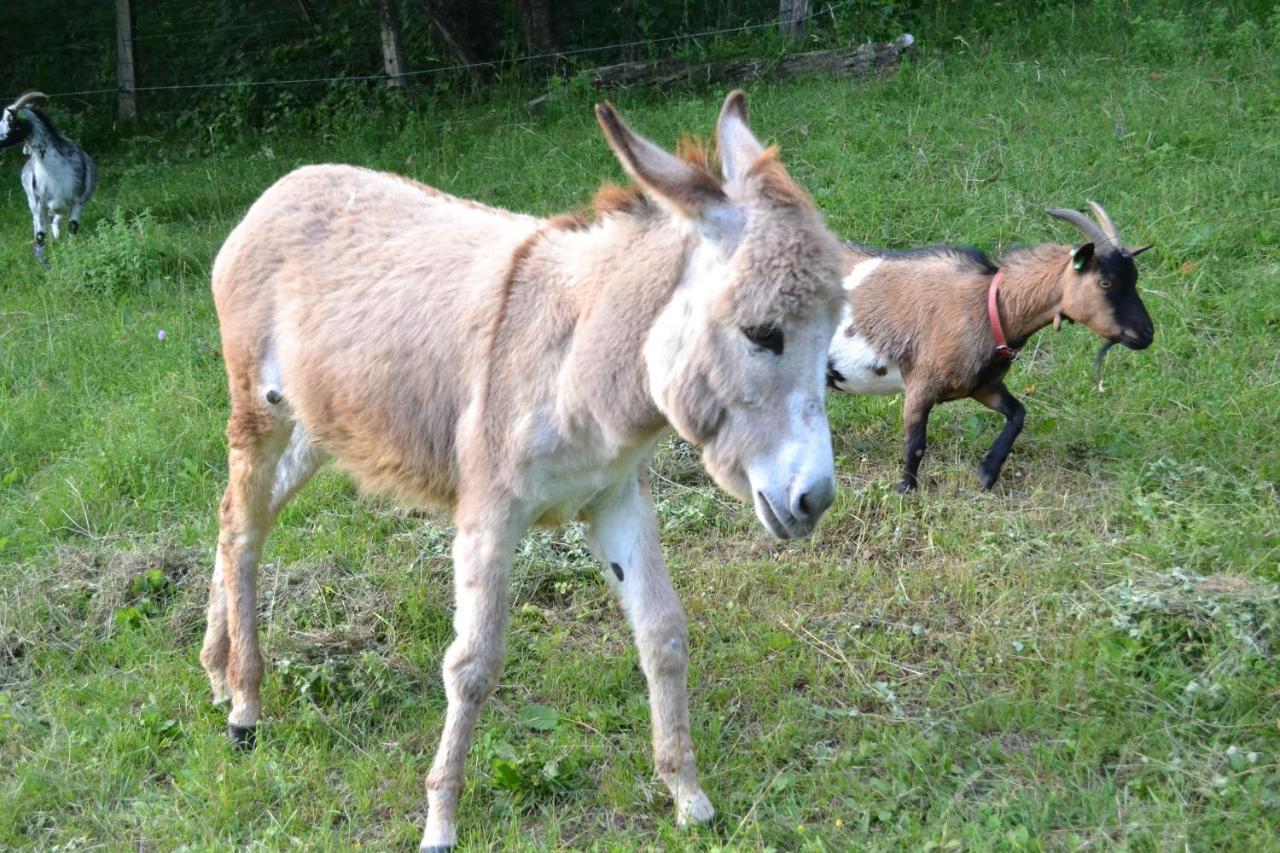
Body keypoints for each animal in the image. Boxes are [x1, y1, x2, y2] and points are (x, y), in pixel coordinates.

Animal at [0, 90, 96, 263]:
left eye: (10, 120)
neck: (54, 173)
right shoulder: (40, 206)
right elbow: (40, 236)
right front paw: (42, 260)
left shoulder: (77, 203)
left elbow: (72, 227)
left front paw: (72, 252)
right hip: (34, 203)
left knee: (56, 221)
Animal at [824, 201, 1157, 491]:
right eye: (1105, 282)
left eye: (1134, 278)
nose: (1146, 334)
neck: (989, 305)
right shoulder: (921, 384)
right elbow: (916, 444)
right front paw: (906, 490)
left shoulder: (982, 385)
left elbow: (1018, 414)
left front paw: (987, 473)